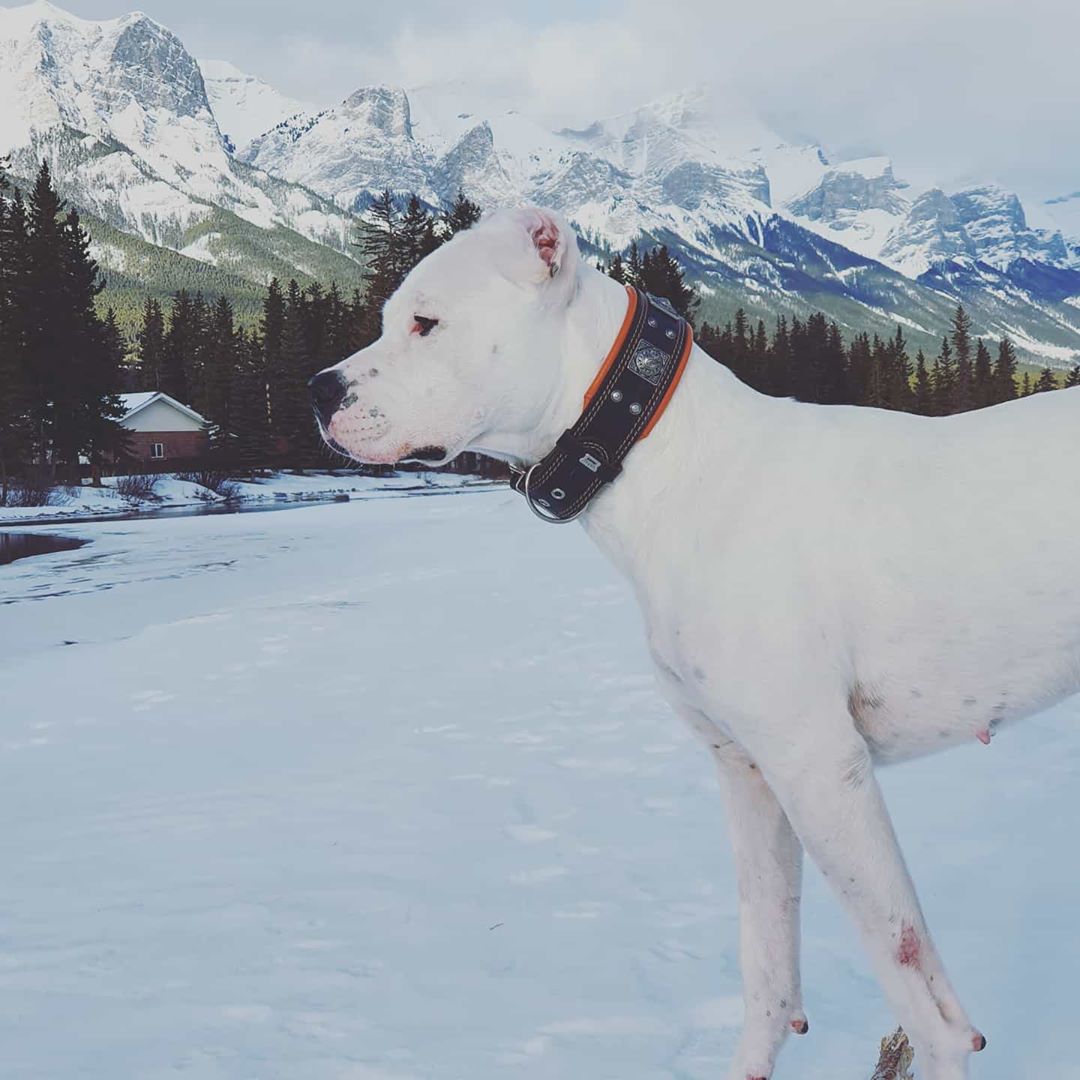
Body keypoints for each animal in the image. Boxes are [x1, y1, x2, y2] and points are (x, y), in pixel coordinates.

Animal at [308, 206, 1080, 1075]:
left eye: (427, 322)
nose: (318, 390)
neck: (661, 462)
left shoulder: (821, 769)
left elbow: (920, 997)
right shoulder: (749, 773)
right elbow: (767, 971)